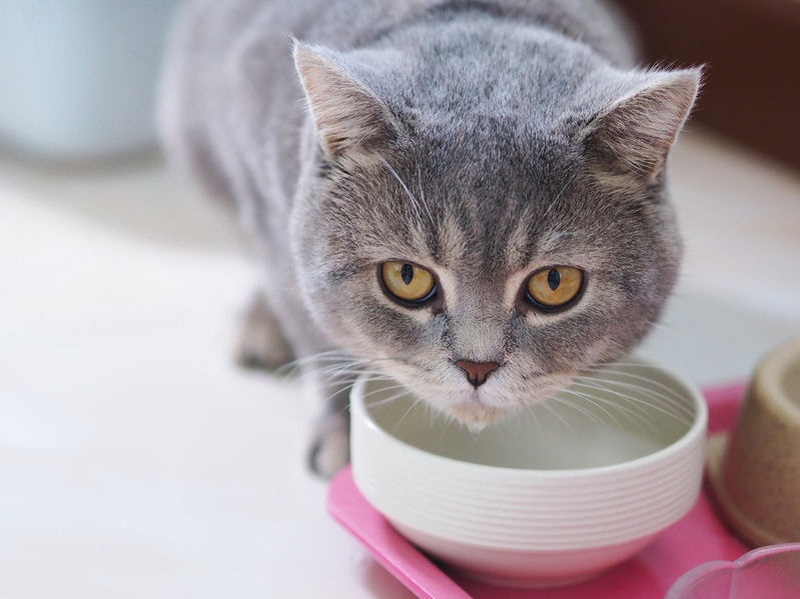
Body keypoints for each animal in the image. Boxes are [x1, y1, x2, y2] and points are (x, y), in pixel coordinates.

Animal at [161, 0, 700, 478]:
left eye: (554, 283)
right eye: (406, 277)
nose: (476, 368)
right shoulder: (270, 224)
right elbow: (319, 341)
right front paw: (342, 436)